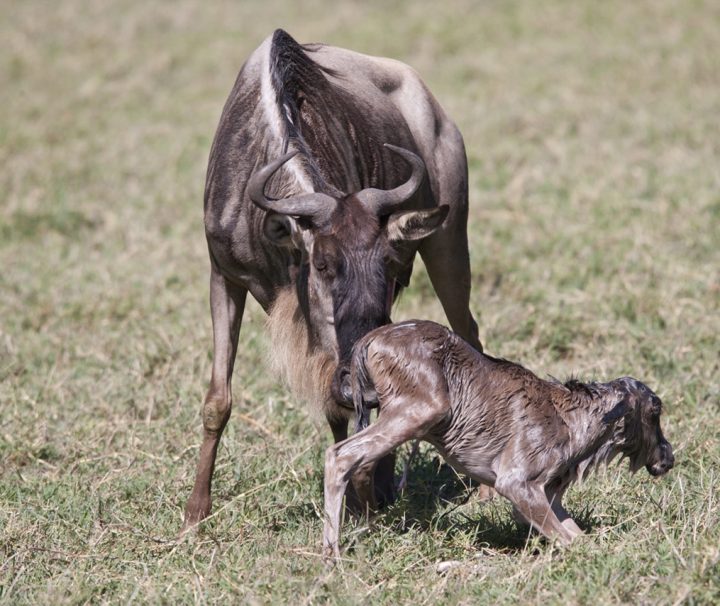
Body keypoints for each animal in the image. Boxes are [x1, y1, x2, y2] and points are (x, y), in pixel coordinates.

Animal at [324, 320, 672, 560]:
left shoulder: (549, 495)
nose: (667, 459)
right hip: (422, 410)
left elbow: (577, 536)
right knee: (340, 454)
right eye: (655, 410)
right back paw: (332, 556)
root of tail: (370, 340)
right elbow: (568, 540)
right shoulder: (517, 483)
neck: (574, 420)